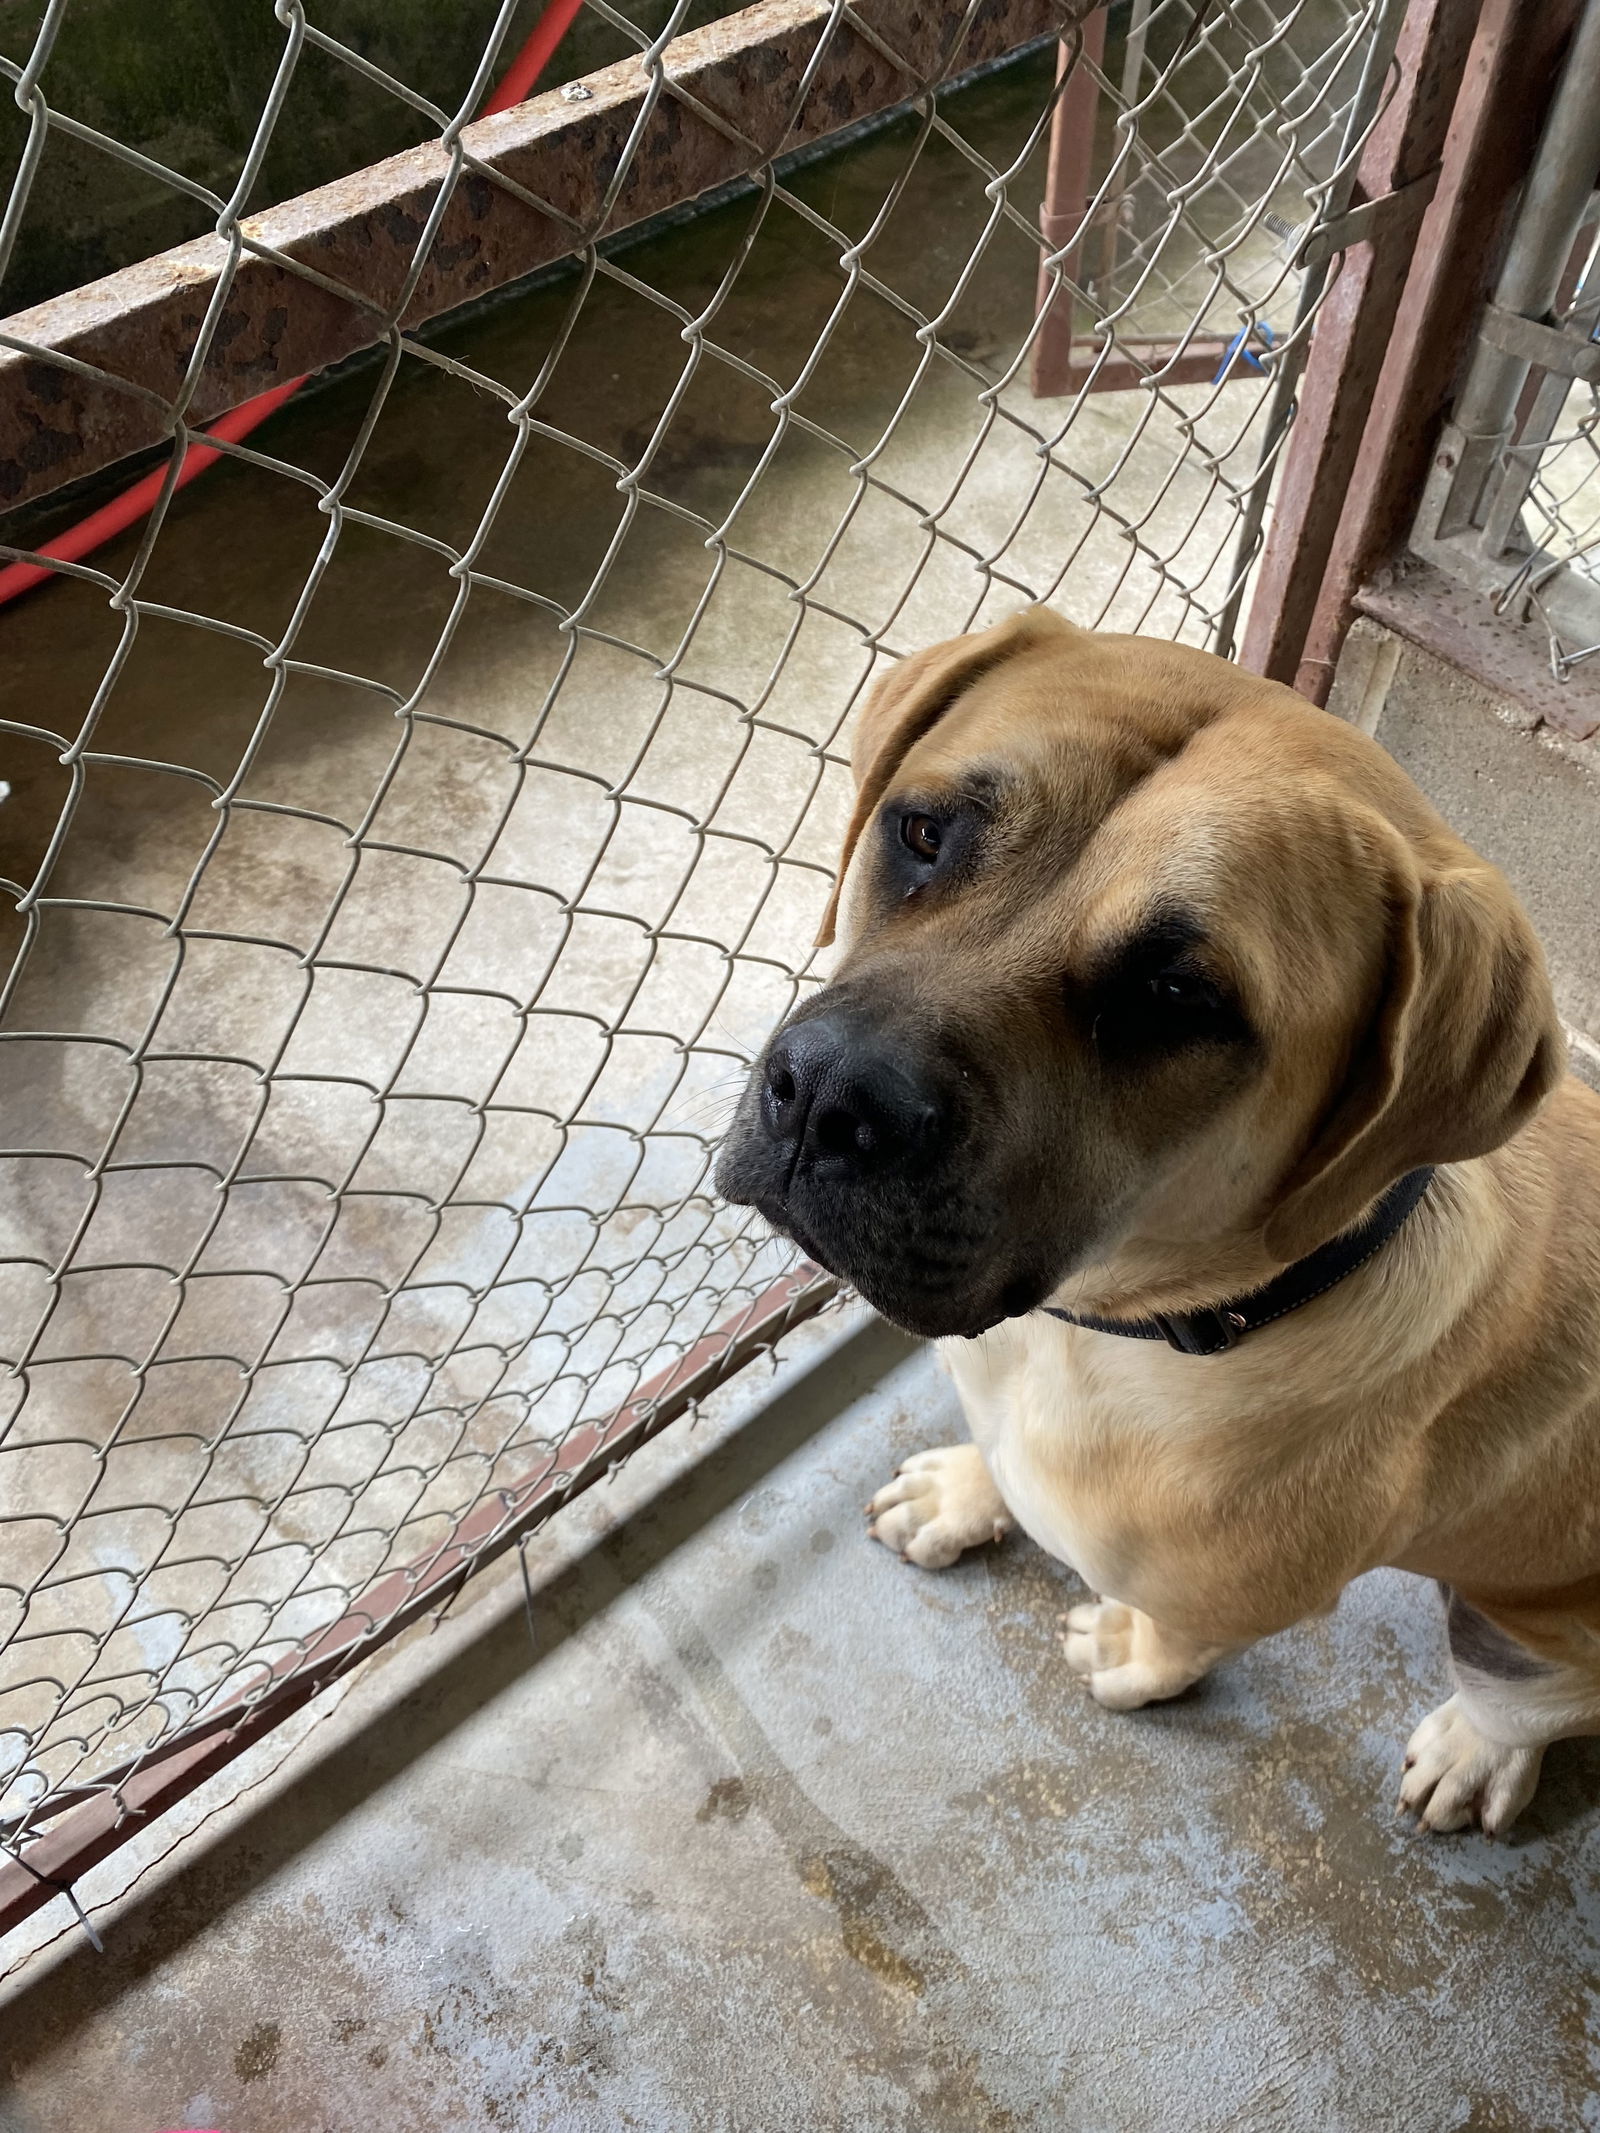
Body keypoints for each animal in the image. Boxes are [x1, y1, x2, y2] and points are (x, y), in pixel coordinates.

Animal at [721, 605, 1600, 1834]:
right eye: (924, 832)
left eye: (1178, 996)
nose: (827, 1097)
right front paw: (965, 1491)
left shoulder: (1223, 1595)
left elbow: (1179, 1640)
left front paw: (1132, 1659)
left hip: (1529, 1632)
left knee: (1525, 1702)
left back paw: (1479, 1750)